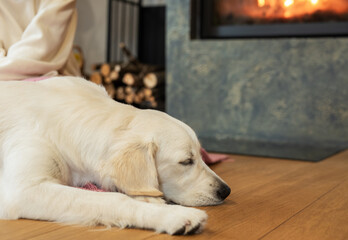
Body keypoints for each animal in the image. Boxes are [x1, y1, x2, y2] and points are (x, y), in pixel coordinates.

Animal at [0, 77, 231, 234]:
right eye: (186, 161)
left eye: (200, 155)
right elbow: (114, 200)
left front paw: (147, 196)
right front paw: (174, 216)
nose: (225, 191)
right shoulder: (23, 190)